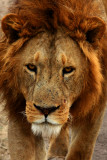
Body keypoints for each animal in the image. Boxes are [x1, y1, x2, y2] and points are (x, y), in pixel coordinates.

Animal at [0, 0, 106, 160]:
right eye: (31, 67)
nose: (45, 110)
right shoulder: (18, 108)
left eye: (68, 69)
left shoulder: (95, 105)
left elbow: (81, 149)